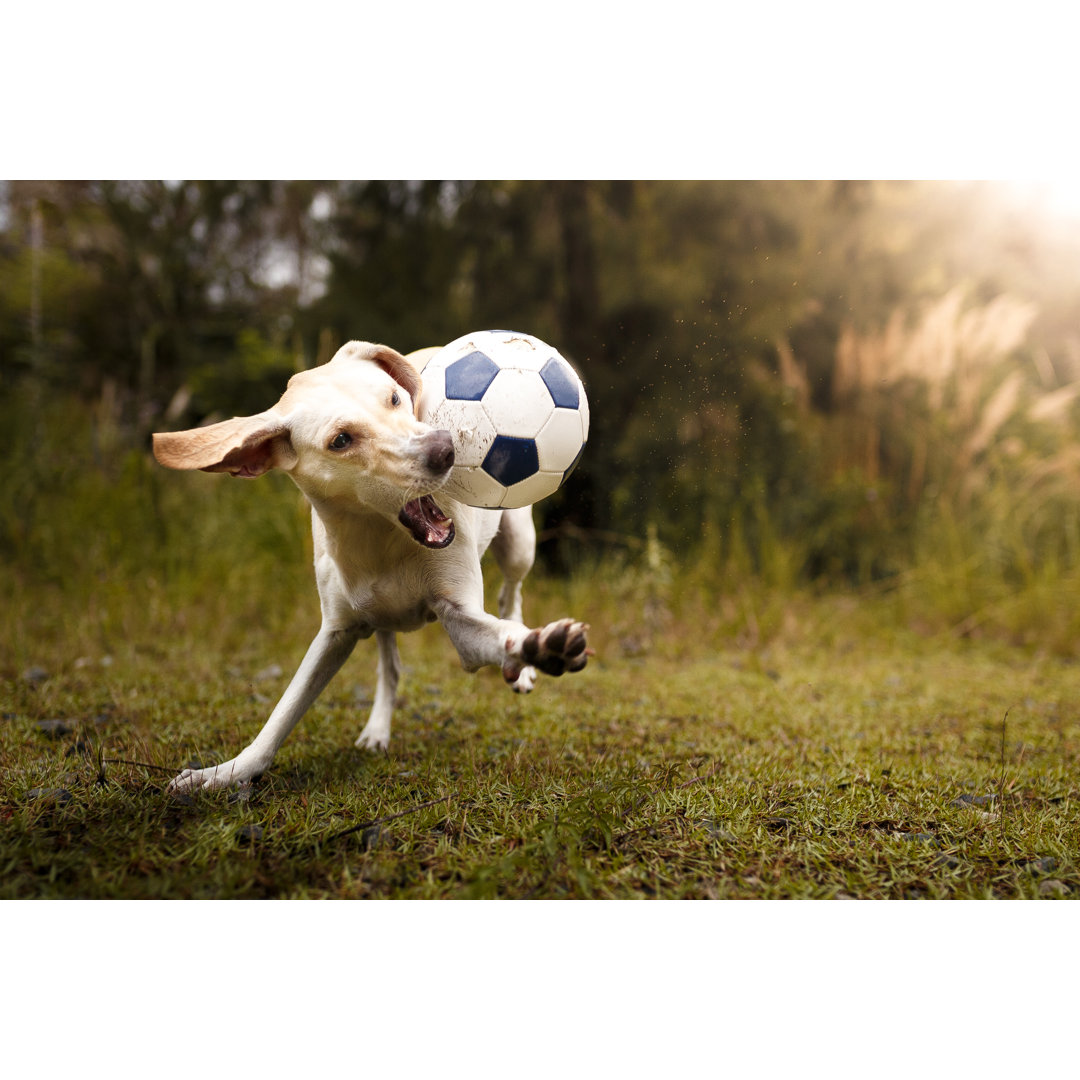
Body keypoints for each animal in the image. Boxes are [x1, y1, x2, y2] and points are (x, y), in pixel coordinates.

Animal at [150, 341, 591, 790]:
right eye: (341, 440)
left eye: (394, 398)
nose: (444, 449)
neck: (380, 539)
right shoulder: (335, 632)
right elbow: (283, 713)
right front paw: (224, 773)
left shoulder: (460, 617)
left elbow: (502, 634)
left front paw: (540, 647)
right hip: (381, 616)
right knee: (391, 666)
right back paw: (378, 729)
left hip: (519, 540)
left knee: (510, 592)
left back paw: (522, 664)